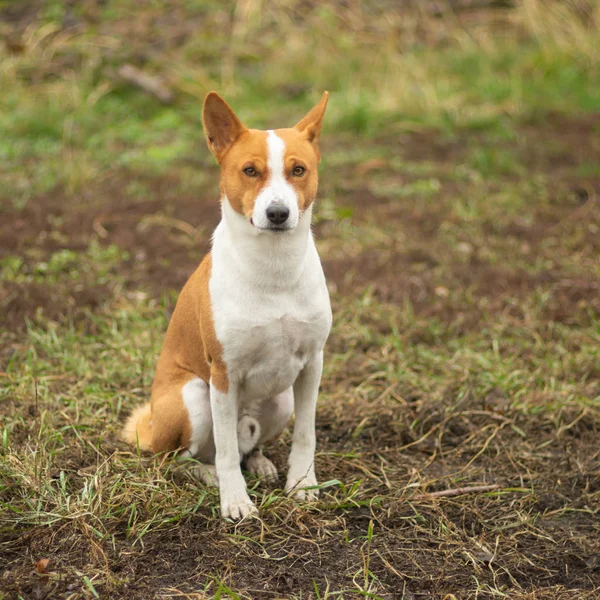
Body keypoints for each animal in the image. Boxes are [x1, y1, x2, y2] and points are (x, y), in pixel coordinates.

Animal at [119, 91, 330, 516]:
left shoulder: (312, 363)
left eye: (298, 170)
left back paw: (261, 463)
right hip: (194, 398)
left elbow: (306, 434)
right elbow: (228, 452)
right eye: (249, 171)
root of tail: (150, 429)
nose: (278, 213)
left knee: (248, 445)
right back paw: (209, 475)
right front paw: (235, 501)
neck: (274, 270)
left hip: (280, 400)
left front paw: (301, 483)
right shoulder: (223, 373)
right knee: (184, 459)